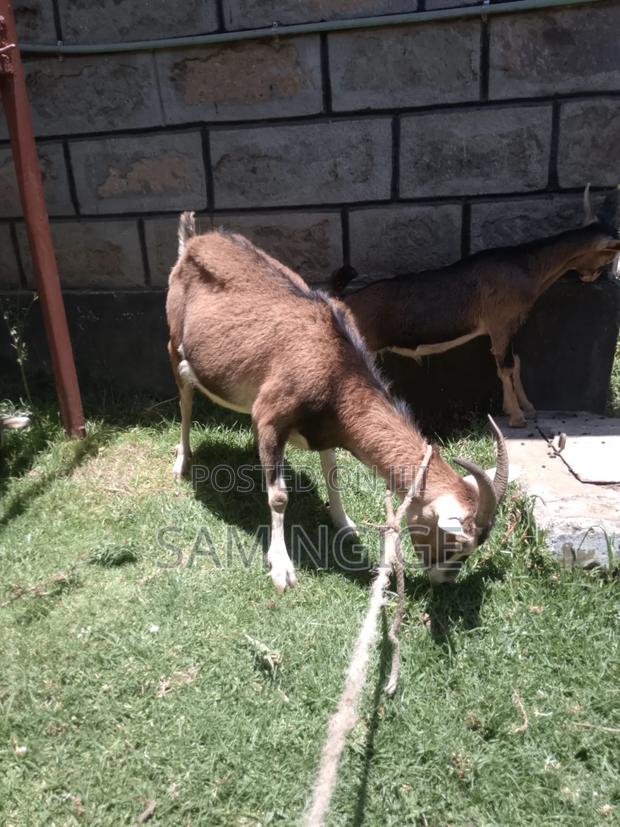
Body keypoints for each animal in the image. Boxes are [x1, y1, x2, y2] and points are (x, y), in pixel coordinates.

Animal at [166, 213, 510, 591]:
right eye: (456, 542)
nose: (443, 579)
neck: (336, 365)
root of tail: (193, 241)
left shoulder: (325, 425)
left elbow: (331, 471)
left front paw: (343, 522)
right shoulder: (271, 417)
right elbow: (279, 495)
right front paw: (281, 567)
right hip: (175, 345)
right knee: (185, 403)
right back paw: (182, 462)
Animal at [332, 189, 620, 427]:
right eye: (609, 255)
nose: (594, 277)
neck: (526, 267)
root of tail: (342, 300)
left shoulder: (513, 324)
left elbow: (515, 363)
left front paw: (527, 407)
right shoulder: (500, 323)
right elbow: (505, 367)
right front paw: (517, 417)